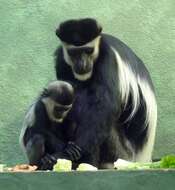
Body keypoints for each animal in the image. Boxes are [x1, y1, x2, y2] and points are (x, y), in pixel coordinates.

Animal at [53, 18, 157, 169]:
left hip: (122, 152)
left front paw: (64, 155)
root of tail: (142, 158)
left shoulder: (108, 59)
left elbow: (105, 107)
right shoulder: (61, 59)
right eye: (73, 53)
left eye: (88, 51)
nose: (82, 64)